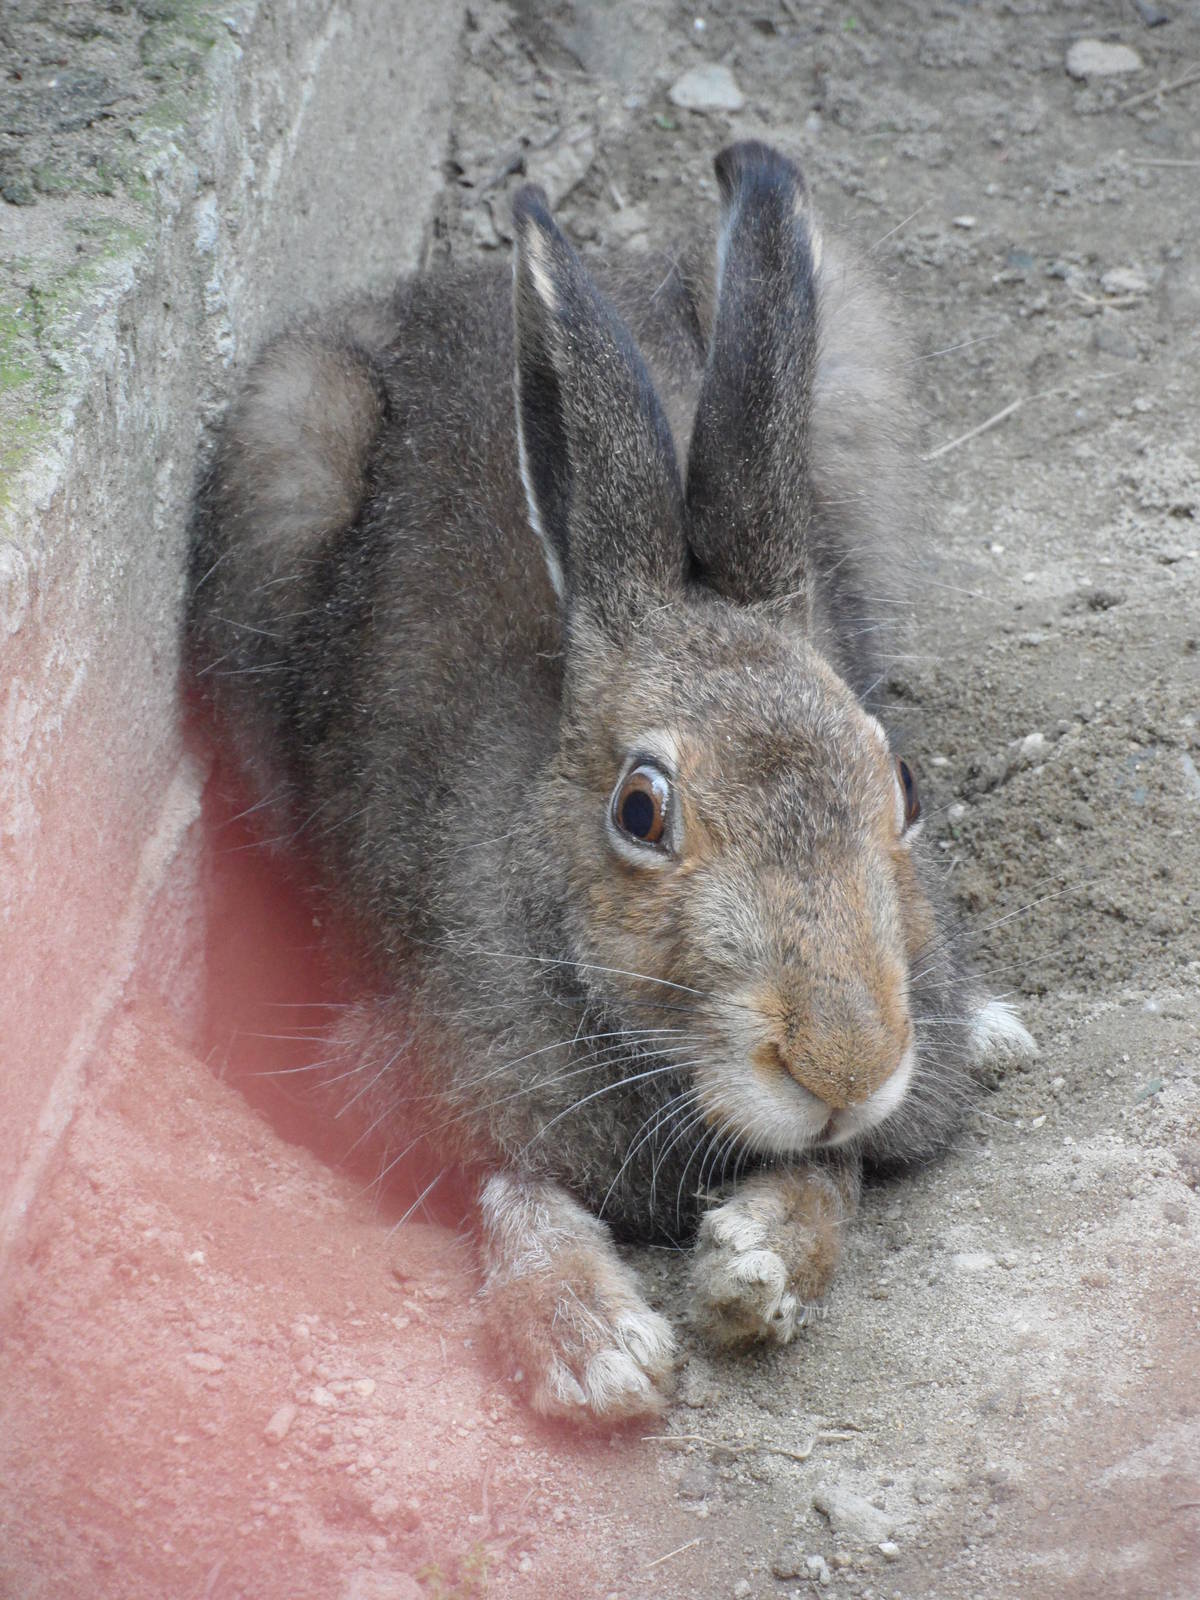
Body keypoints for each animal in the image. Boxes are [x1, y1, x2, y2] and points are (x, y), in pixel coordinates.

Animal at [188, 141, 1034, 1424]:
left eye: (905, 783)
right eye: (641, 811)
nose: (845, 1060)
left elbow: (836, 1164)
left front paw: (756, 1262)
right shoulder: (427, 1069)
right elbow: (507, 1188)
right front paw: (593, 1348)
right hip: (281, 454)